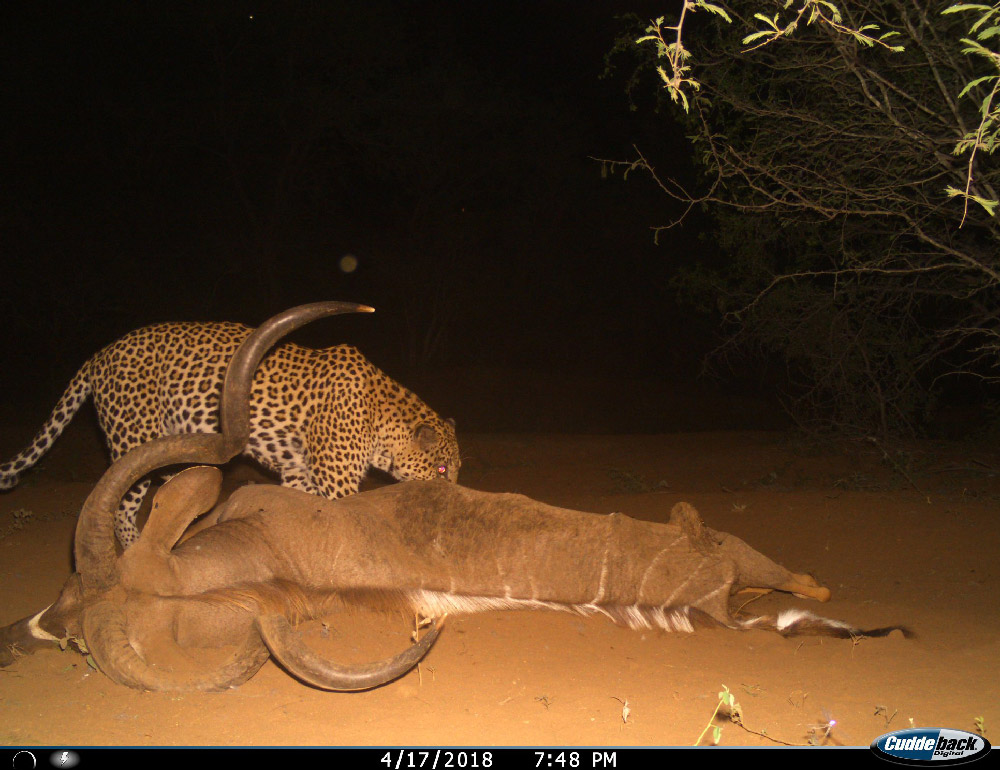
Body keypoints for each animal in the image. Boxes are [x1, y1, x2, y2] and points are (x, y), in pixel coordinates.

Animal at [0, 314, 460, 544]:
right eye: (440, 470)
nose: (454, 495)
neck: (382, 416)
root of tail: (100, 354)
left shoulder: (299, 473)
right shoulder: (337, 481)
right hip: (133, 442)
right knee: (120, 509)